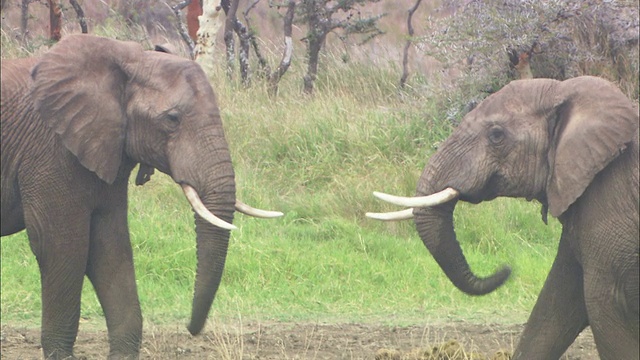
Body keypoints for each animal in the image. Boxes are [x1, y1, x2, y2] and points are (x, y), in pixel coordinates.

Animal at [1, 34, 282, 360]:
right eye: (172, 118)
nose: (191, 328)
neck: (125, 58)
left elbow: (109, 246)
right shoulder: (50, 152)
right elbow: (60, 246)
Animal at [368, 76, 636, 360]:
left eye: (496, 135)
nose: (506, 268)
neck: (565, 91)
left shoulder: (611, 198)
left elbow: (605, 305)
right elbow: (556, 304)